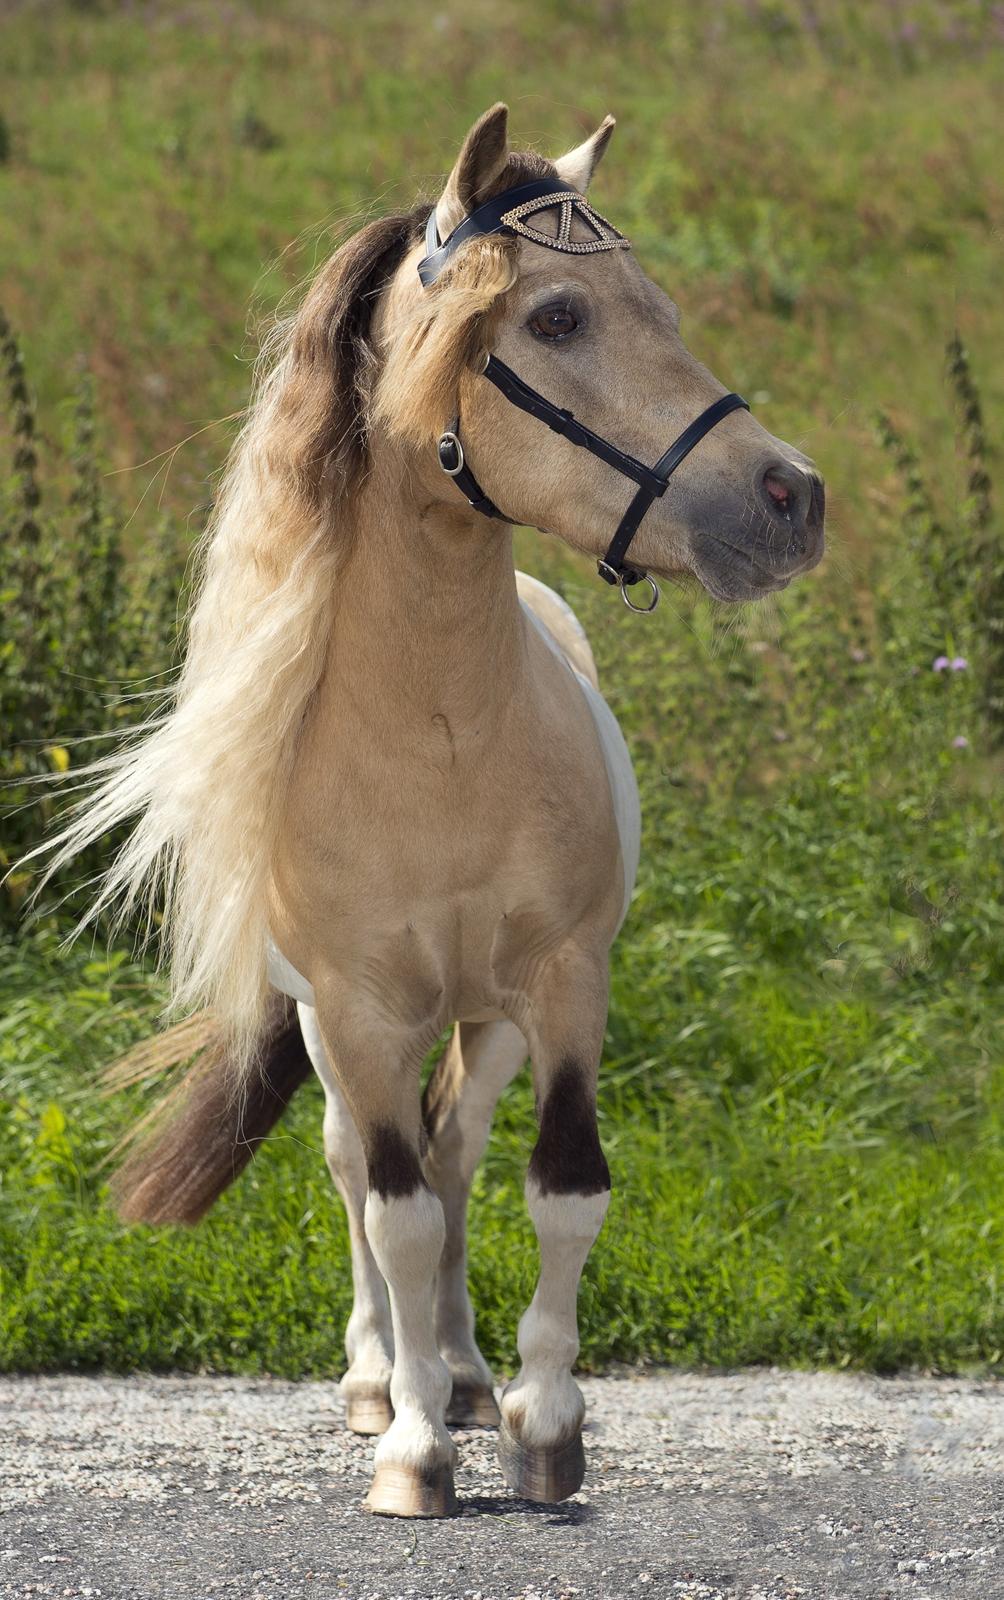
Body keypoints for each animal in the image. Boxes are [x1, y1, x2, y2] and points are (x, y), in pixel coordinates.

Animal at [37, 106, 824, 1516]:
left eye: (661, 307)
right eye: (557, 316)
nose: (790, 497)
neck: (438, 741)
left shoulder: (563, 986)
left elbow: (558, 1190)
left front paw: (538, 1421)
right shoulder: (355, 1011)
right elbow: (393, 1212)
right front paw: (411, 1450)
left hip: (484, 1016)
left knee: (454, 1155)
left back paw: (455, 1368)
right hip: (338, 1023)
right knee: (361, 1166)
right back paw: (381, 1376)